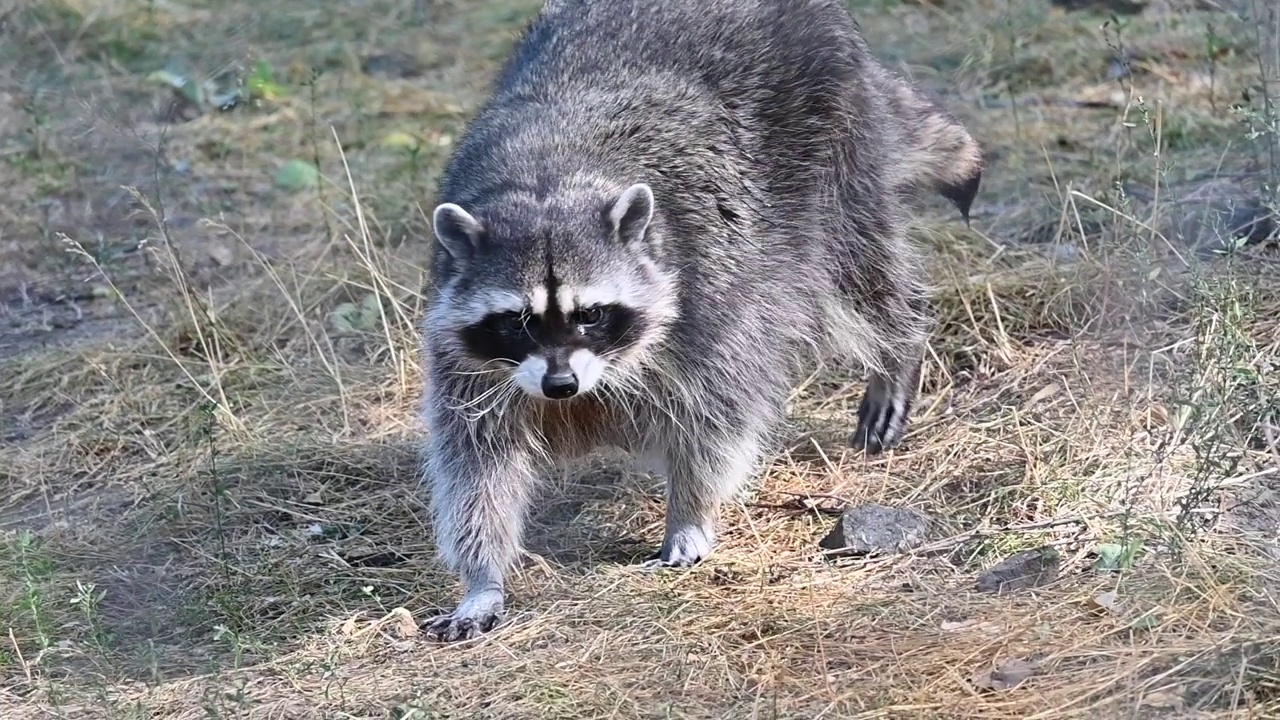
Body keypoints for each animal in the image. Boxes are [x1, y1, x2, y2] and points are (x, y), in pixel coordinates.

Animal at [417, 0, 977, 638]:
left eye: (591, 314)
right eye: (517, 321)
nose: (561, 385)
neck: (549, 182)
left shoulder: (710, 291)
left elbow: (716, 417)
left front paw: (690, 512)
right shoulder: (463, 356)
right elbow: (476, 463)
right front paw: (481, 577)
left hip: (831, 150)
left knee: (861, 268)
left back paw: (897, 350)